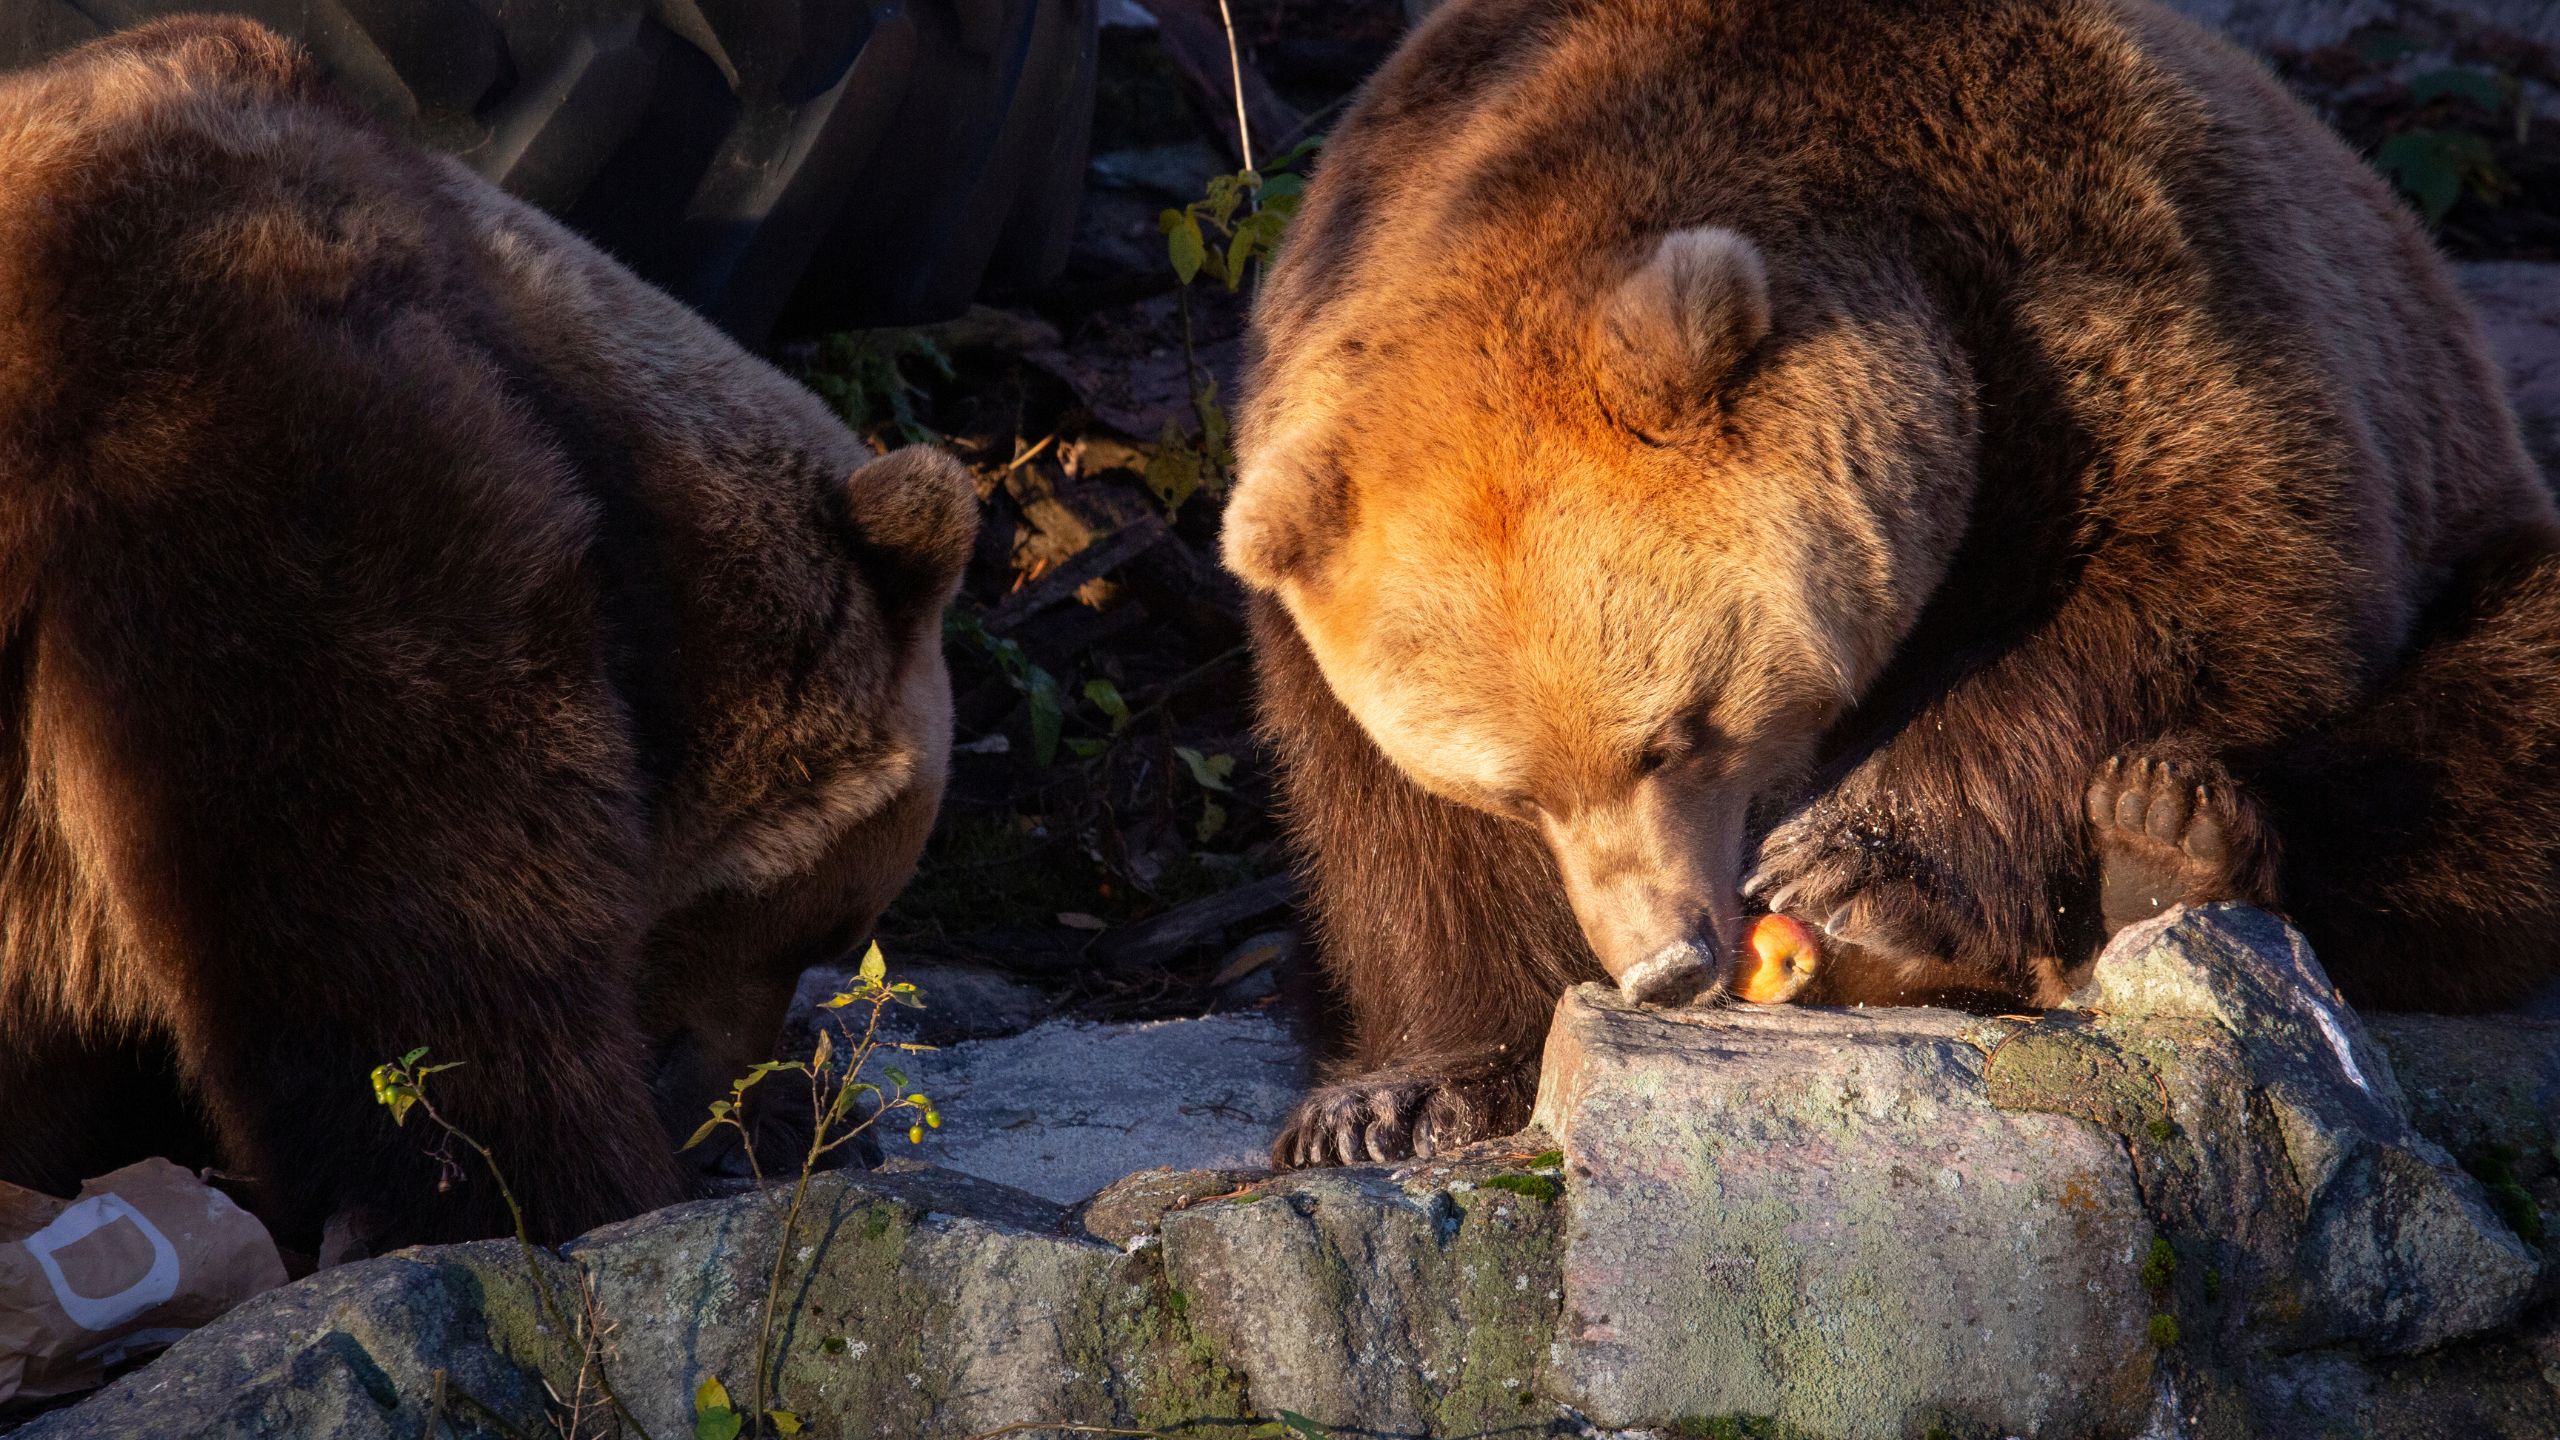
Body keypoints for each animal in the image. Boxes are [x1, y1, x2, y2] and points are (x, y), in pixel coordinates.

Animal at [1223, 0, 2560, 1168]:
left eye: (1680, 735)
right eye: (1511, 791)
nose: (1667, 960)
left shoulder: (2094, 268)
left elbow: (2222, 560)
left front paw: (1851, 865)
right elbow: (1393, 840)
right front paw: (1390, 1098)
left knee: (2495, 722)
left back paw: (2168, 841)